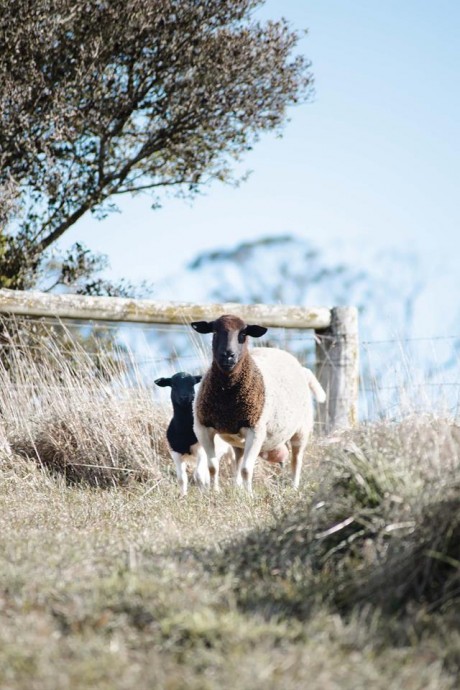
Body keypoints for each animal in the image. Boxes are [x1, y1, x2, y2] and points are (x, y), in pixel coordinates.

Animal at [190, 314, 328, 492]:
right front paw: (215, 492)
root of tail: (302, 369)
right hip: (237, 440)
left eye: (243, 334)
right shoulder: (202, 428)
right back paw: (237, 488)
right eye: (214, 332)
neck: (227, 397)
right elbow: (213, 466)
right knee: (238, 460)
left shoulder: (256, 430)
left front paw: (249, 495)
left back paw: (294, 488)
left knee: (297, 460)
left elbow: (247, 469)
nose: (228, 355)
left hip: (301, 430)